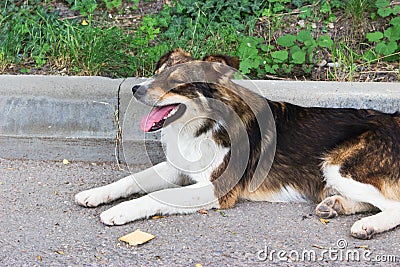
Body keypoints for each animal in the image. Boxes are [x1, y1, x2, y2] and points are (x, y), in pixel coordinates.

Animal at [76, 48, 400, 241]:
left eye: (175, 81)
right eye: (157, 74)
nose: (135, 89)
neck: (204, 124)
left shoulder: (219, 189)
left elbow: (159, 195)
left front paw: (120, 211)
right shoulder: (180, 166)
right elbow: (131, 179)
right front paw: (96, 194)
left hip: (338, 166)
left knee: (394, 206)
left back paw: (367, 225)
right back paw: (334, 206)